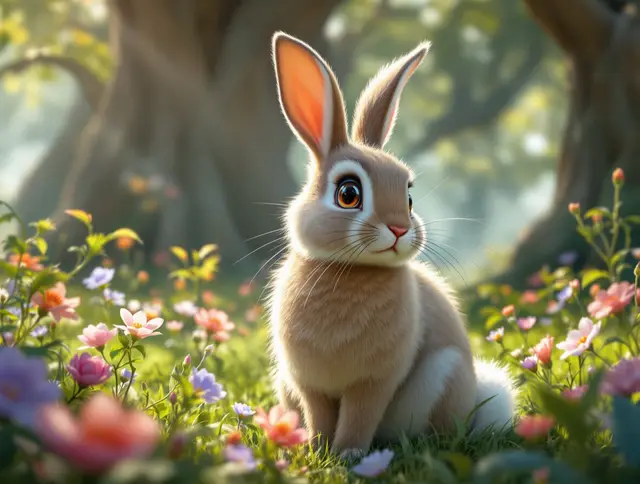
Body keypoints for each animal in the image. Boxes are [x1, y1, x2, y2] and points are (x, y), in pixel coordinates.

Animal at [266, 31, 517, 460]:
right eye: (348, 193)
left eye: (409, 195)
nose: (400, 228)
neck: (349, 269)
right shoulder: (307, 384)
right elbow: (319, 417)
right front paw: (317, 452)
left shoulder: (374, 382)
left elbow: (359, 417)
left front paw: (347, 455)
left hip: (444, 374)